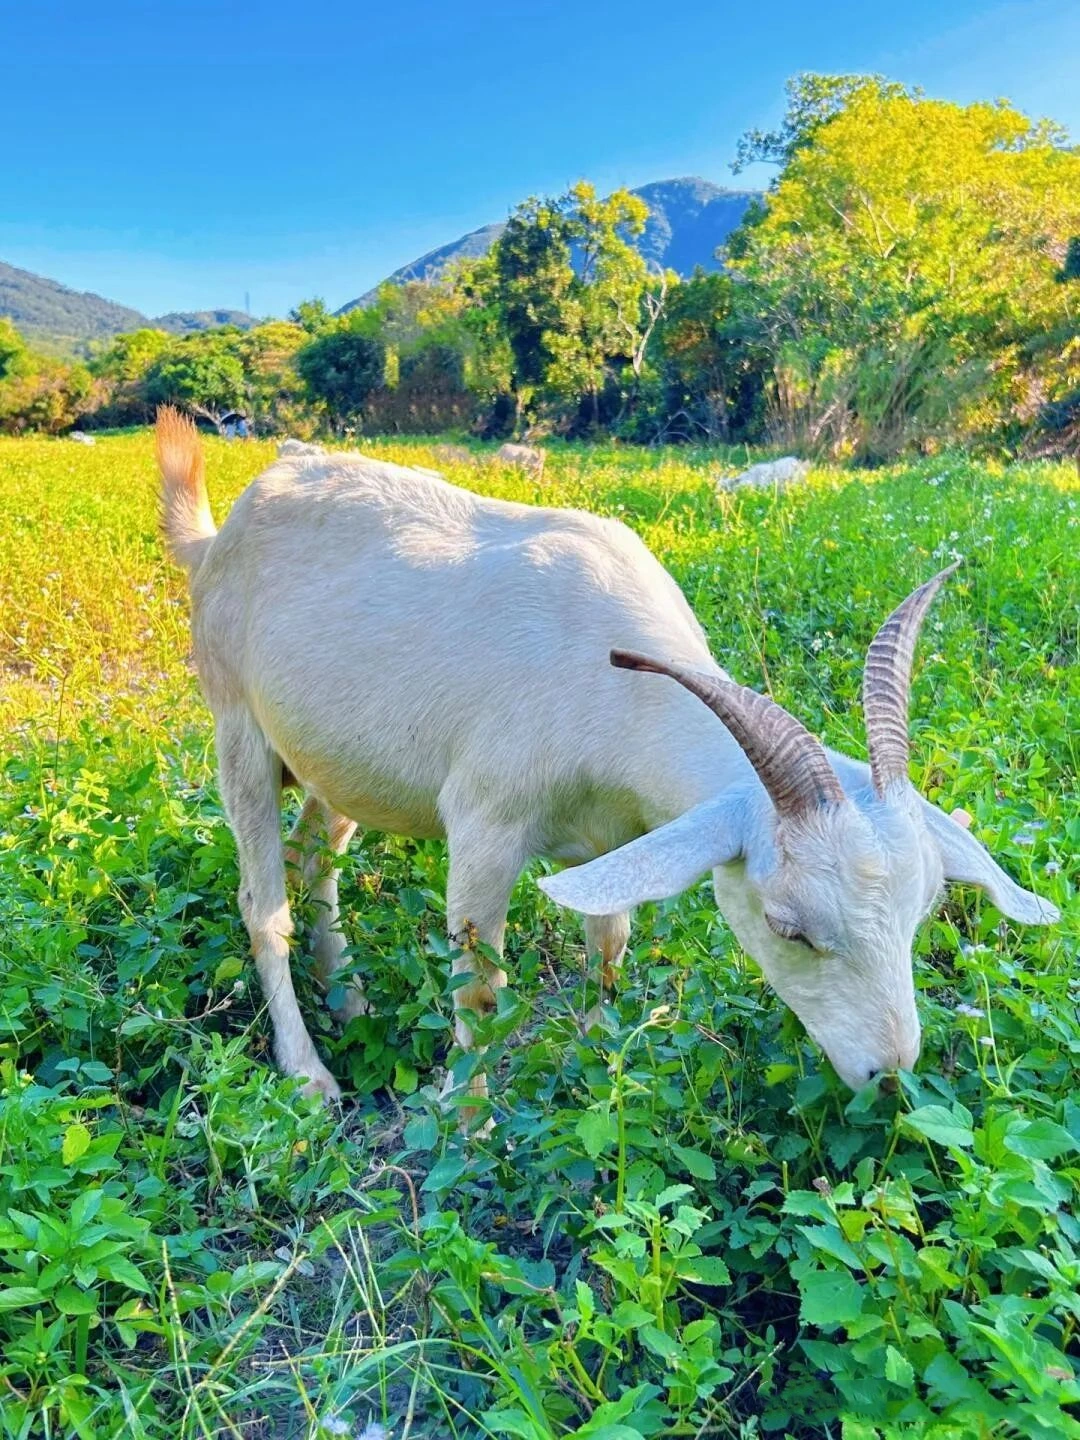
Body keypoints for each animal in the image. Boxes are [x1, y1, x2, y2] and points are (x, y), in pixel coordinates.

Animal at [156, 408, 1059, 1111]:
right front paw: (464, 1120)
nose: (888, 1074)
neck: (612, 681)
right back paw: (308, 1073)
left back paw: (346, 998)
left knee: (316, 851)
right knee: (261, 900)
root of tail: (221, 534)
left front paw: (597, 1058)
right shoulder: (486, 823)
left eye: (924, 912)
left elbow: (611, 944)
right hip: (236, 722)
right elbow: (479, 983)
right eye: (787, 927)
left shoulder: (610, 836)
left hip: (339, 760)